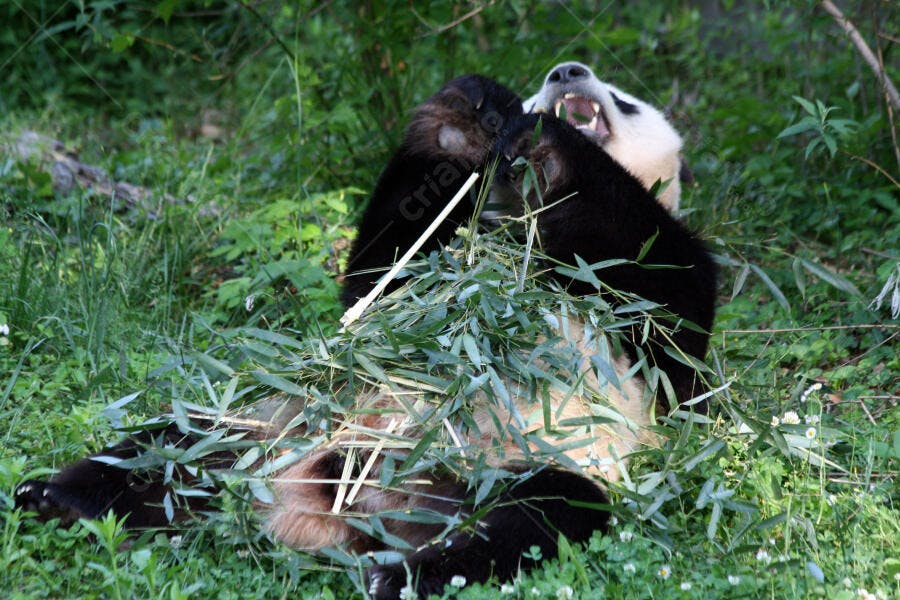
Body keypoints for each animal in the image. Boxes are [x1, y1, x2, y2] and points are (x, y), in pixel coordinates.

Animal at [15, 69, 717, 599]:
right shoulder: (436, 259)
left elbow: (674, 299)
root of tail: (323, 516)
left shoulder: (640, 322)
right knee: (171, 446)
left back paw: (406, 578)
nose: (566, 73)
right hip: (280, 420)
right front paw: (466, 117)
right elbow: (380, 278)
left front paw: (551, 141)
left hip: (514, 465)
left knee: (538, 516)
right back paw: (56, 497)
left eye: (626, 100)